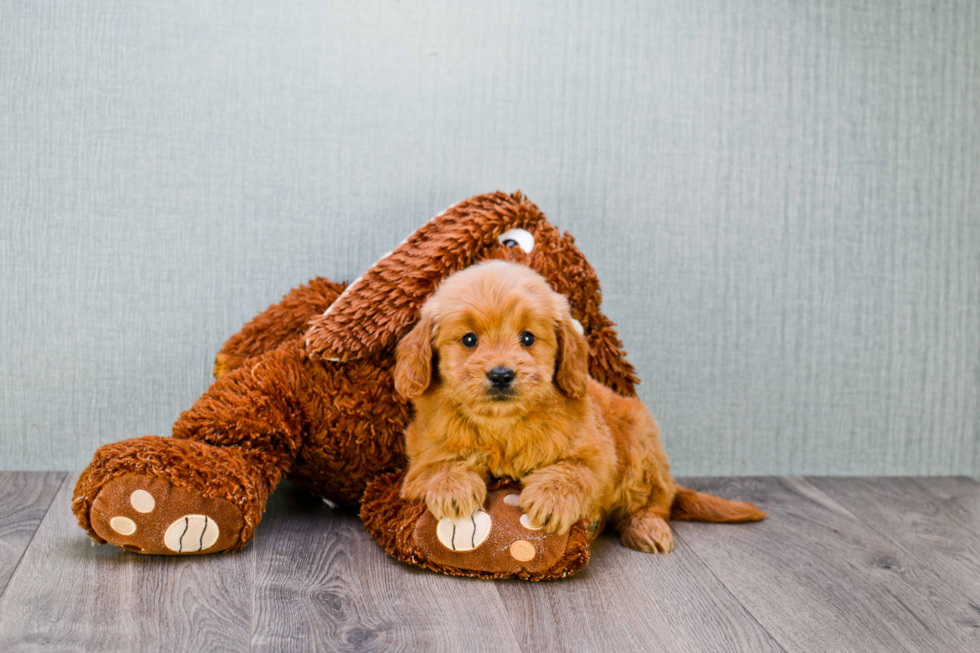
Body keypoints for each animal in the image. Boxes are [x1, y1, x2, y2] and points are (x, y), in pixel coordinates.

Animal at [392, 260, 756, 552]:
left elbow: (575, 470)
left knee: (655, 502)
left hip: (641, 451)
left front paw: (552, 499)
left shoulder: (598, 454)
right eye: (469, 340)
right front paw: (452, 490)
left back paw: (647, 529)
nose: (501, 374)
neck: (503, 424)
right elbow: (438, 466)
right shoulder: (420, 458)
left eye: (527, 338)